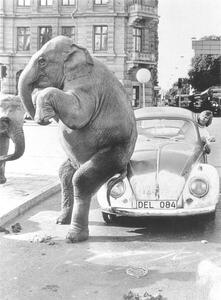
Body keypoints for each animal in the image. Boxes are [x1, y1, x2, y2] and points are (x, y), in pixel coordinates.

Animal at [18, 35, 137, 243]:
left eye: (42, 61)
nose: (40, 120)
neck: (79, 49)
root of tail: (124, 166)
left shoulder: (87, 85)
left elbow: (78, 114)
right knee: (65, 175)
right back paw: (61, 221)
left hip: (115, 152)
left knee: (81, 181)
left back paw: (74, 236)